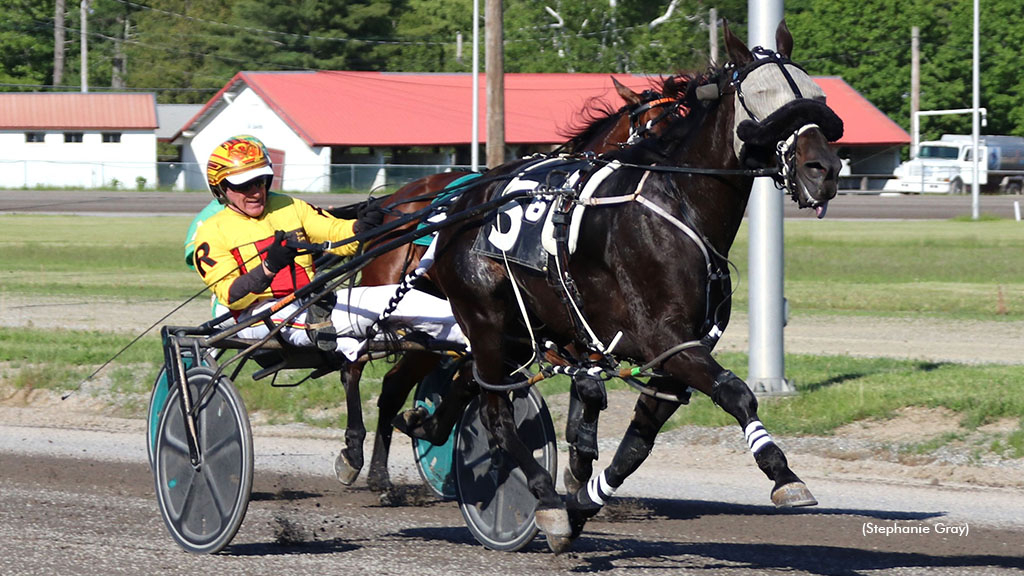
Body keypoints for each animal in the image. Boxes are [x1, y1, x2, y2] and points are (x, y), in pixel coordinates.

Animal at [331, 78, 692, 496]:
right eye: (653, 130)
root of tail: (395, 202)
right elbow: (586, 386)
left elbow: (584, 387)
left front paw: (578, 461)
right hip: (384, 294)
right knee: (353, 365)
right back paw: (352, 452)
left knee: (392, 385)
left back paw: (379, 472)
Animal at [419, 21, 843, 553]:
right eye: (764, 97)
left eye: (815, 96)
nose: (824, 169)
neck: (679, 202)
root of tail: (460, 208)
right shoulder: (661, 338)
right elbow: (736, 393)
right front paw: (783, 474)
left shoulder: (677, 352)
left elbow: (637, 442)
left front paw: (584, 503)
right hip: (488, 324)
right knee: (495, 413)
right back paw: (544, 500)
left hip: (514, 331)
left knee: (470, 385)